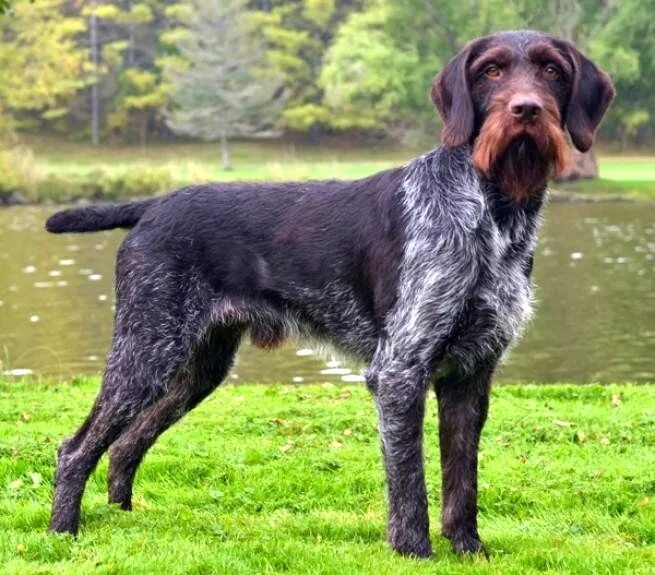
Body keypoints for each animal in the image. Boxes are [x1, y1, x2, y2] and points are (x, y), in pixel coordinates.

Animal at [46, 30, 616, 560]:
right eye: (492, 71)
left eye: (551, 70)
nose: (526, 109)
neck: (493, 212)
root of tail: (154, 205)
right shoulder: (400, 370)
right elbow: (410, 483)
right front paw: (414, 551)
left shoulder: (471, 374)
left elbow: (462, 481)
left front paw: (468, 549)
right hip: (146, 350)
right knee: (76, 447)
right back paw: (62, 532)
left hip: (197, 366)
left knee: (126, 444)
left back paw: (123, 516)